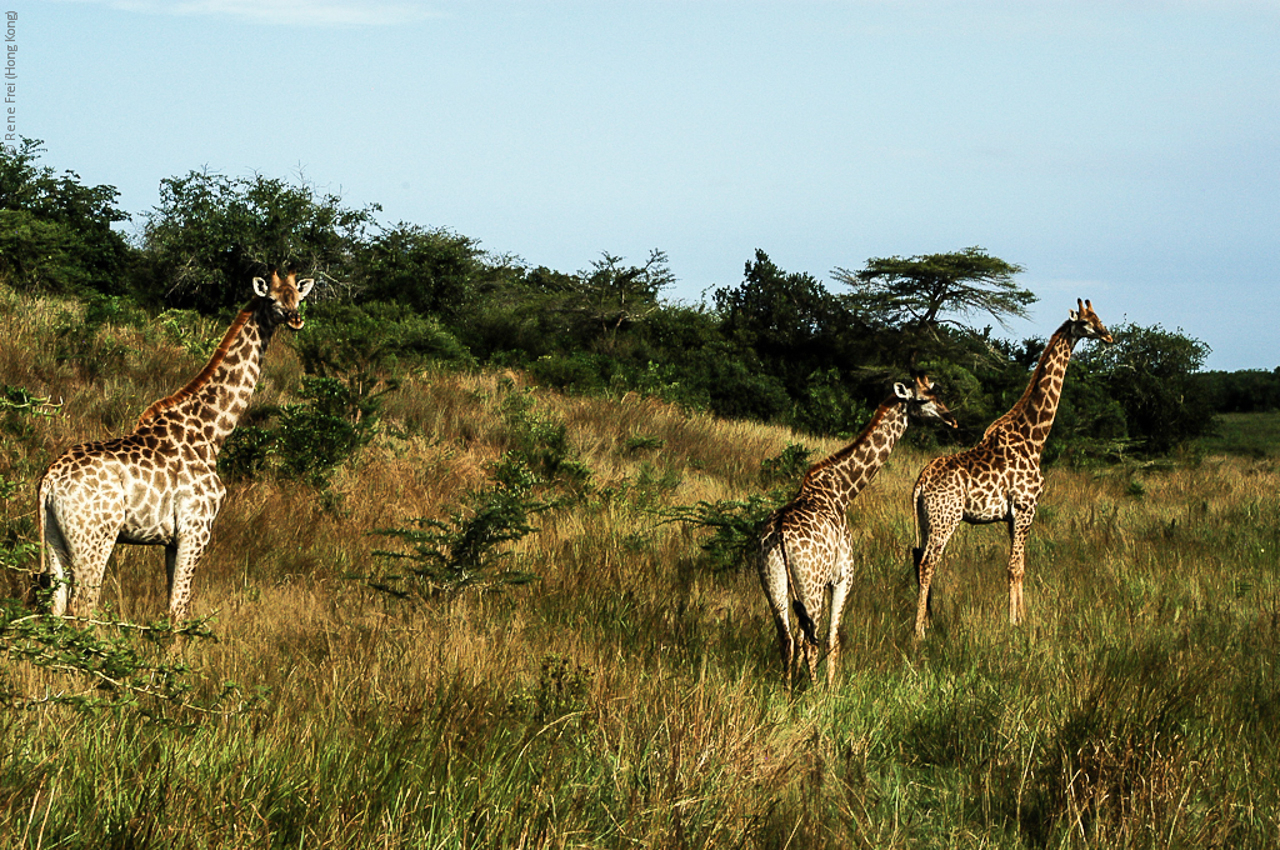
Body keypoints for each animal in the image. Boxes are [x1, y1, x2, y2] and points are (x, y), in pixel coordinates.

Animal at [35, 270, 314, 617]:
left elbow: (171, 607)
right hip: (96, 537)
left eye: (298, 298)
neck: (211, 432)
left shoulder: (171, 541)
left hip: (54, 537)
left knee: (56, 608)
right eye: (273, 299)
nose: (295, 319)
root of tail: (49, 480)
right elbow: (178, 610)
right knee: (83, 607)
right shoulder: (196, 530)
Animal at [752, 376, 957, 686]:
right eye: (922, 400)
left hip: (774, 581)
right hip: (810, 585)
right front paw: (830, 688)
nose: (950, 419)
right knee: (811, 641)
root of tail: (779, 535)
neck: (842, 492)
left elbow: (803, 637)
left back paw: (787, 690)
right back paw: (815, 693)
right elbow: (832, 639)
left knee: (787, 639)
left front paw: (800, 682)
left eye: (937, 394)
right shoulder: (843, 577)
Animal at [911, 298, 1111, 637]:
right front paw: (1014, 623)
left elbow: (1020, 565)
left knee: (918, 560)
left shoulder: (1012, 515)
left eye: (1099, 318)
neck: (1035, 436)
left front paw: (1023, 618)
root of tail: (920, 483)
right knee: (927, 564)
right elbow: (1015, 567)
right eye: (1085, 322)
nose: (1109, 336)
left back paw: (927, 622)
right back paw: (919, 633)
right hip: (945, 519)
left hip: (927, 521)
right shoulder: (1026, 507)